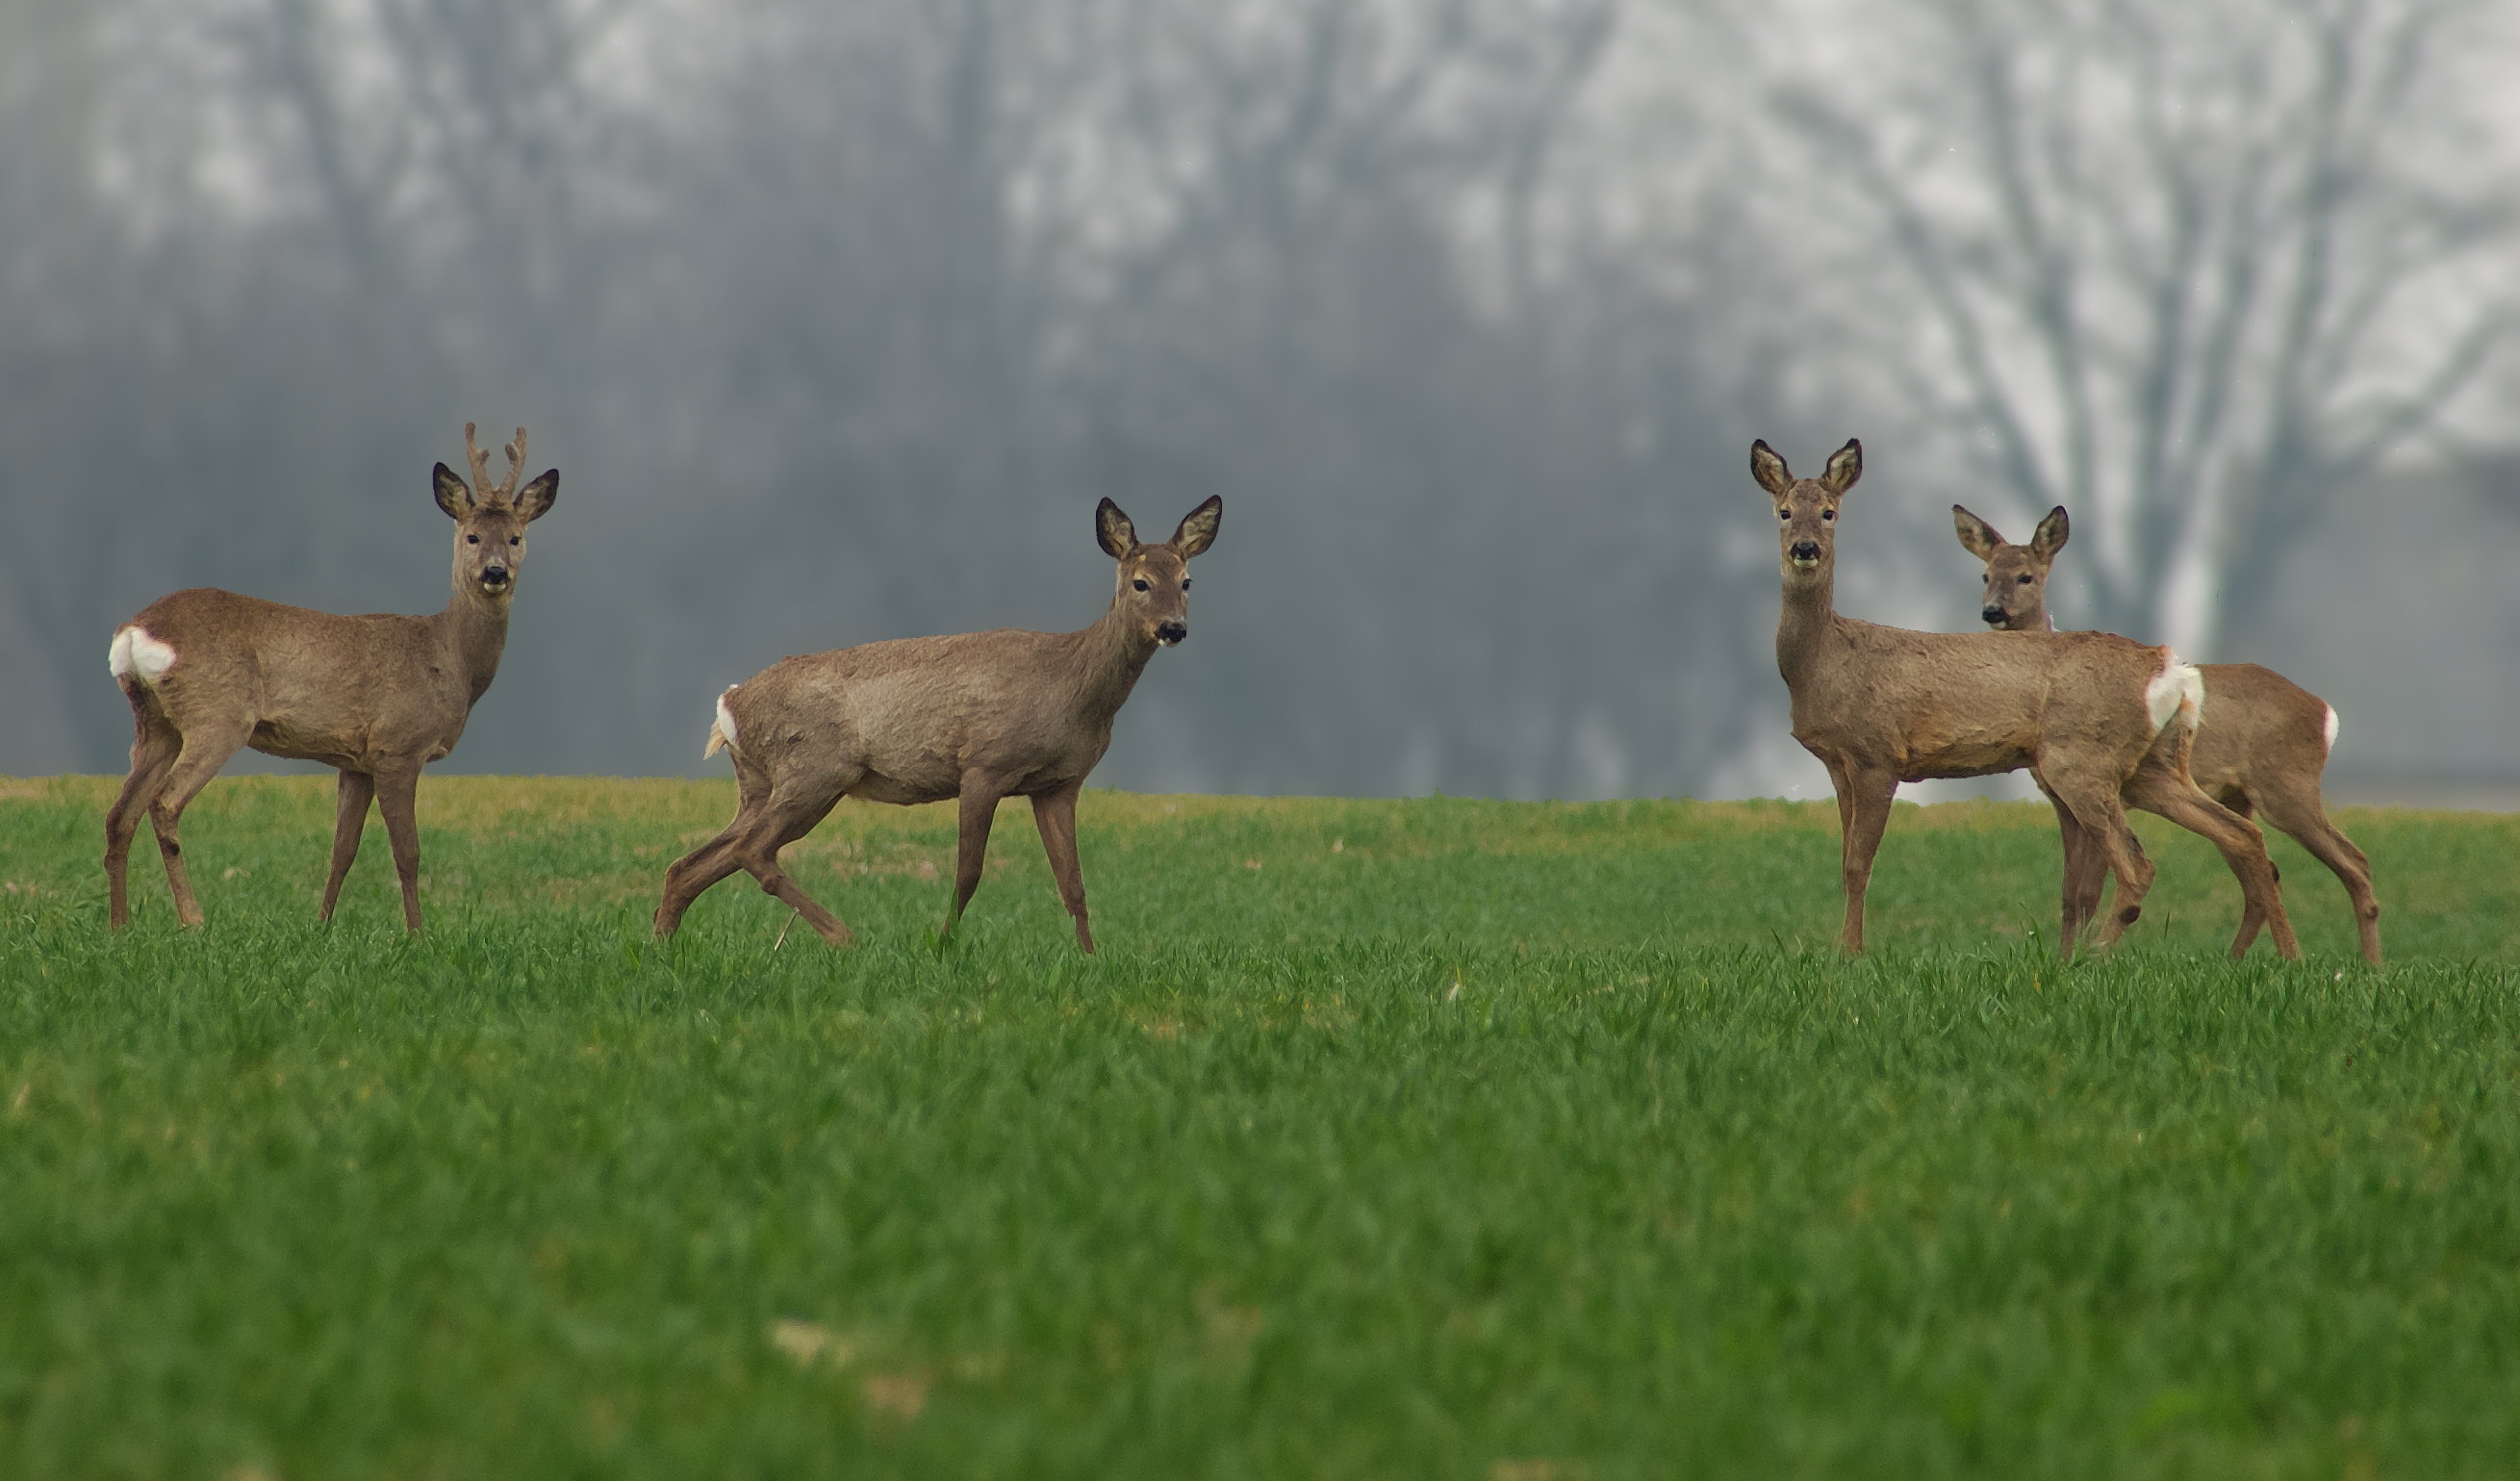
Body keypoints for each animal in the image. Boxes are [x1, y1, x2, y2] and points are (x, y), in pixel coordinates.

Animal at [107, 422, 556, 927]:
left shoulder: (355, 761)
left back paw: (120, 926)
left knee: (120, 814)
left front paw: (321, 925)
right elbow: (408, 853)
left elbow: (343, 849)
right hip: (217, 715)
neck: (449, 656)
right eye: (473, 536)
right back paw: (193, 921)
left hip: (155, 723)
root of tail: (136, 629)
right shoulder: (398, 746)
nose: (496, 573)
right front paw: (417, 932)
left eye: (516, 537)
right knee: (164, 803)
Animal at [654, 491, 1224, 952]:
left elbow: (1074, 884)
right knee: (752, 851)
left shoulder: (1058, 785)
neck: (1072, 689)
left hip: (760, 783)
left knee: (693, 863)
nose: (1174, 629)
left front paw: (1090, 958)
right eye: (1140, 582)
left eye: (1187, 581)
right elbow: (968, 873)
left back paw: (662, 945)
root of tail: (729, 706)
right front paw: (943, 944)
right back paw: (846, 936)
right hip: (815, 769)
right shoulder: (985, 764)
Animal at [1753, 433, 2308, 952]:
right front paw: (1843, 950)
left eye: (1829, 513)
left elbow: (1858, 864)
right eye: (1784, 512)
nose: (1805, 548)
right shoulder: (1838, 763)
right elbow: (1846, 861)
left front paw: (1849, 955)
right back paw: (2289, 959)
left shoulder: (1878, 754)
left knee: (2139, 864)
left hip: (2082, 759)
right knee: (2241, 833)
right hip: (2154, 765)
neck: (1825, 662)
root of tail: (2172, 670)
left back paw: (2092, 957)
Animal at [1945, 503, 2379, 967]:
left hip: (2285, 786)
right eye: (1985, 575)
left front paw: (2077, 960)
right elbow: (2069, 894)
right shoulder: (2061, 800)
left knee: (2353, 862)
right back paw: (2239, 961)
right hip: (2238, 796)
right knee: (2265, 868)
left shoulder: (2102, 793)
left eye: (2026, 576)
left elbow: (2086, 891)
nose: (1992, 611)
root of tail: (2324, 713)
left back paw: (2367, 965)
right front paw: (2065, 959)